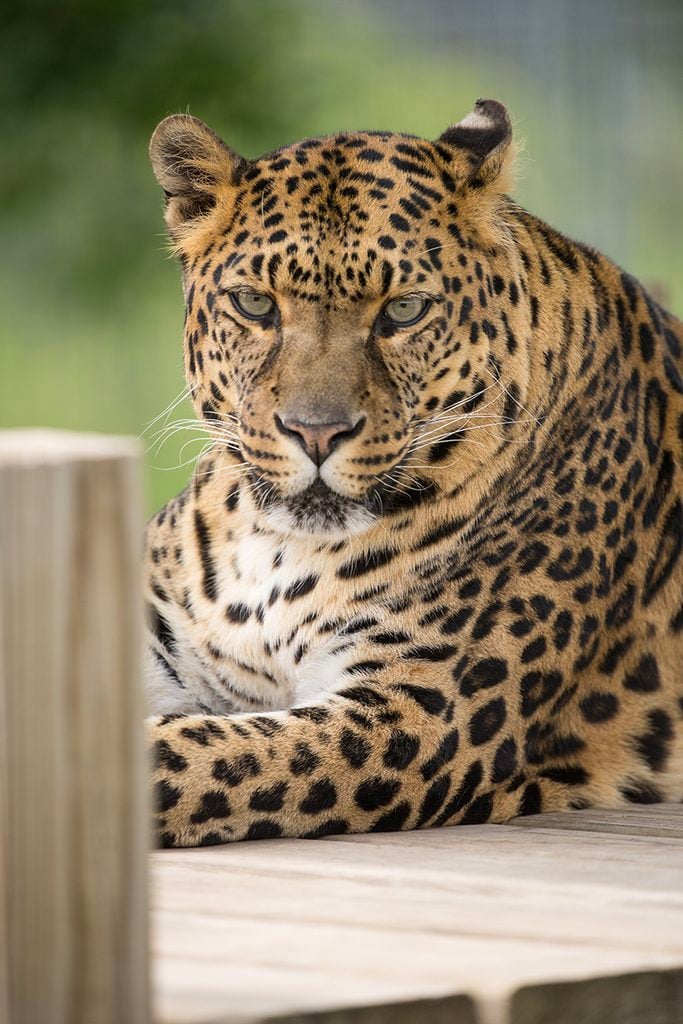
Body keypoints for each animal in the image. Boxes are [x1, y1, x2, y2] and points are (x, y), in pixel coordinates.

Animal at [144, 99, 683, 847]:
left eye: (403, 309)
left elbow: (184, 757)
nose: (316, 431)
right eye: (255, 305)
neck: (274, 547)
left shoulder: (415, 712)